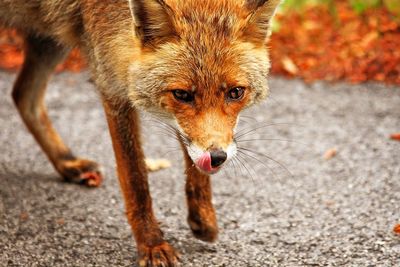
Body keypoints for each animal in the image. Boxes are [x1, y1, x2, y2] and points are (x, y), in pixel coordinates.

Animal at [0, 0, 282, 266]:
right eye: (182, 95)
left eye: (236, 92)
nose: (216, 158)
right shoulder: (112, 83)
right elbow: (135, 177)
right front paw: (151, 243)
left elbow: (191, 153)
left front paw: (203, 216)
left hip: (49, 36)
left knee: (23, 95)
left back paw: (66, 162)